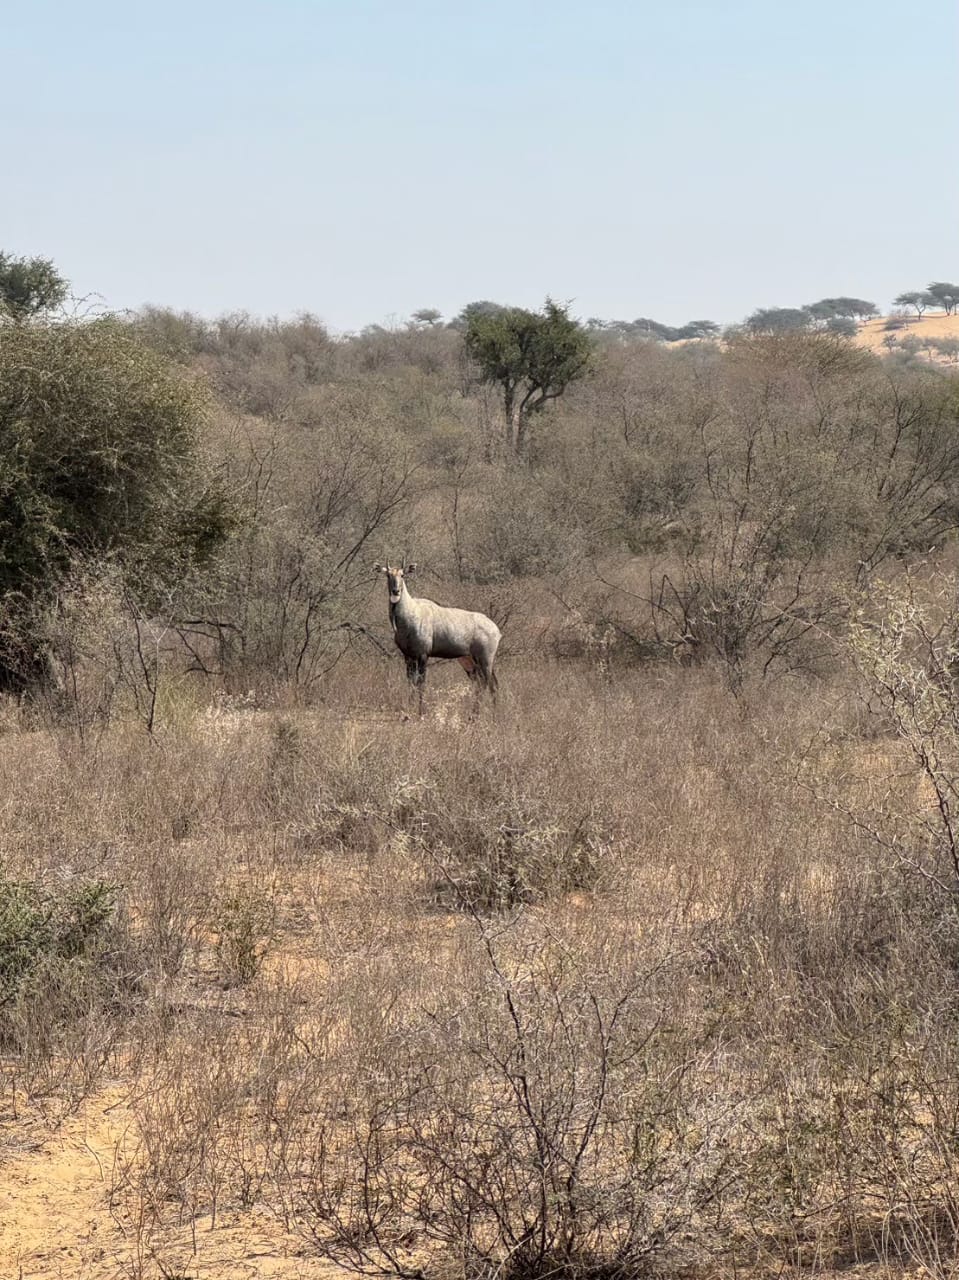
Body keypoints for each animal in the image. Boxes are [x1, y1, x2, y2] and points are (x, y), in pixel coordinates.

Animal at [374, 563, 501, 714]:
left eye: (403, 575)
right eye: (388, 575)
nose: (395, 591)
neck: (410, 614)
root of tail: (496, 630)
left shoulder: (423, 655)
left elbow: (421, 683)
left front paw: (420, 712)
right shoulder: (408, 656)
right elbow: (411, 683)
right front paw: (409, 709)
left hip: (485, 659)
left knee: (488, 684)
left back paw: (484, 716)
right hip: (468, 661)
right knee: (485, 684)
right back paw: (484, 715)